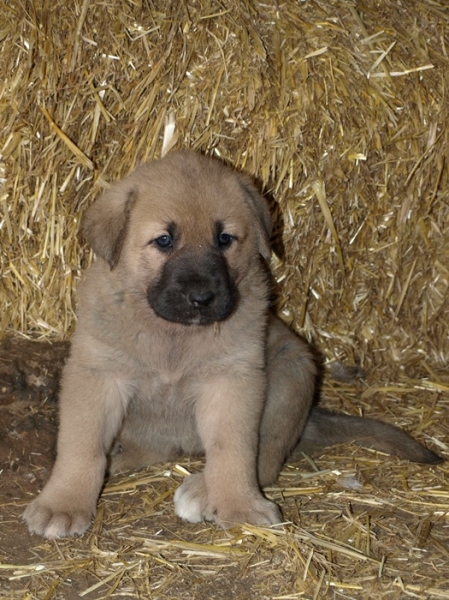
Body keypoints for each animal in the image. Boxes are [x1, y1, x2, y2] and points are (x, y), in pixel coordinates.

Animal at [22, 150, 440, 540]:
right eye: (164, 240)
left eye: (224, 239)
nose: (202, 297)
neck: (173, 338)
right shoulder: (98, 374)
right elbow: (82, 445)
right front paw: (63, 503)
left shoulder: (232, 381)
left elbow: (232, 450)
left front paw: (239, 505)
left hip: (291, 373)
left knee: (265, 459)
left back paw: (202, 490)